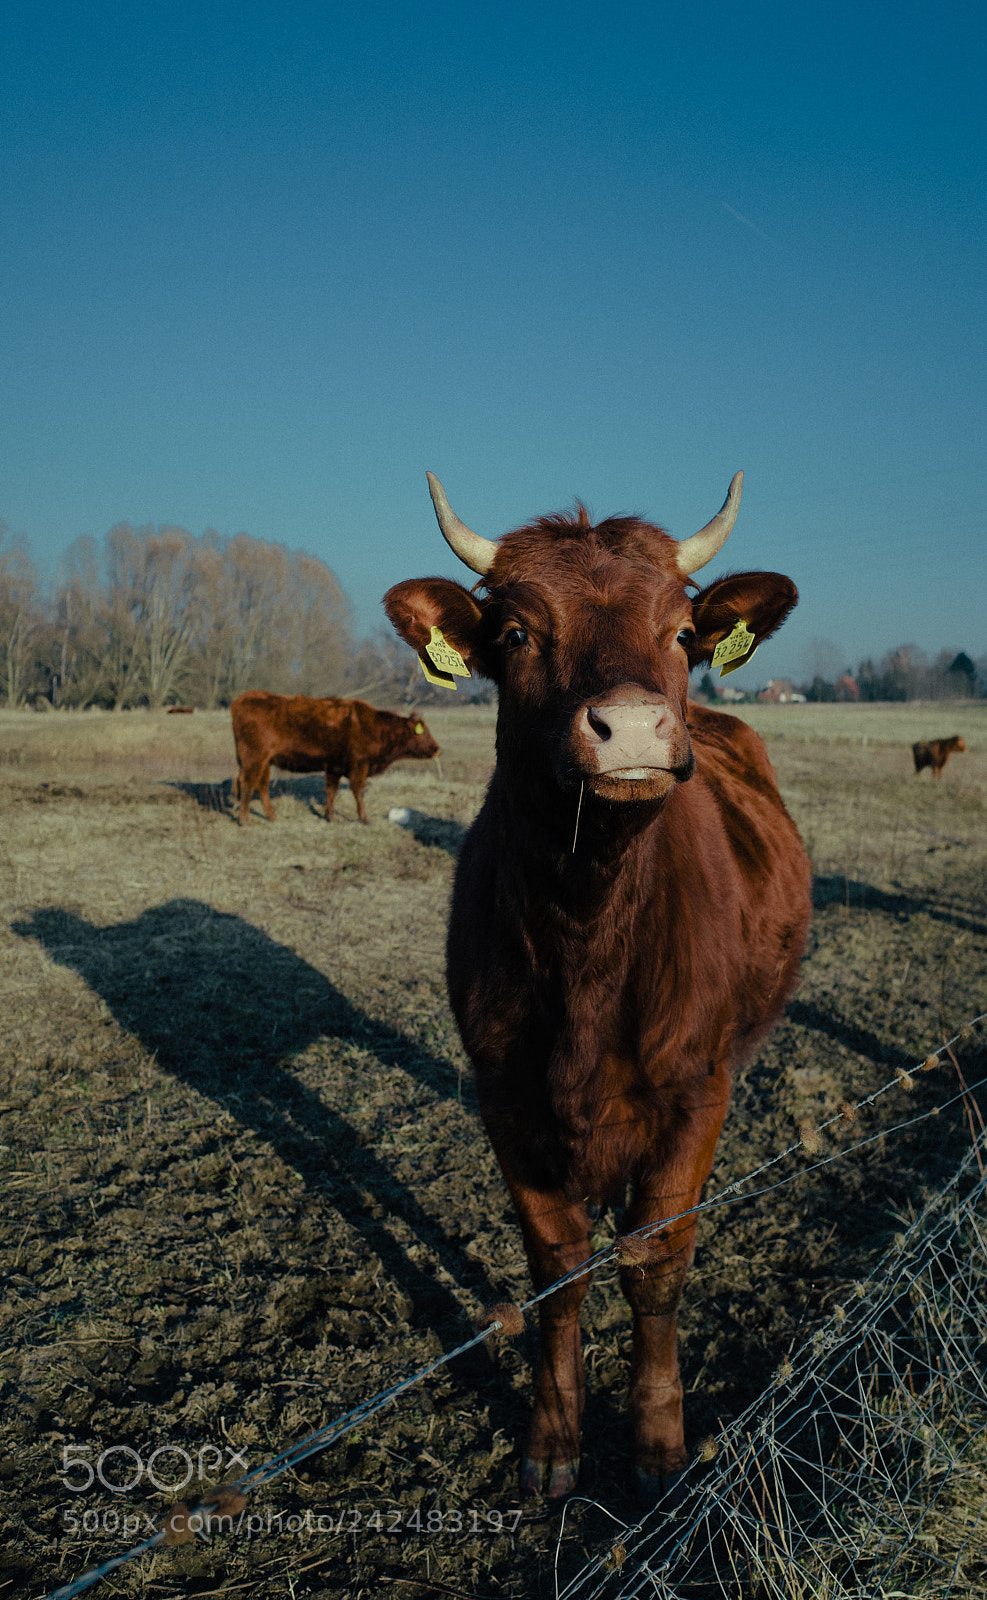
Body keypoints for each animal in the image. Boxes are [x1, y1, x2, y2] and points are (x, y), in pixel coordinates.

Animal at [230, 693, 439, 825]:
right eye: (423, 732)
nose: (437, 749)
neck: (374, 726)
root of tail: (244, 698)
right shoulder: (359, 765)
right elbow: (358, 792)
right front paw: (364, 818)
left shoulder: (334, 767)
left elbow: (331, 791)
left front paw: (330, 816)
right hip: (255, 758)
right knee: (247, 783)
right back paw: (245, 820)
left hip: (264, 761)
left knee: (261, 785)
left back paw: (272, 816)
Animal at [384, 470, 811, 1502]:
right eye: (515, 633)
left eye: (681, 633)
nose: (634, 730)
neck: (587, 929)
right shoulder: (505, 1096)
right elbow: (560, 1267)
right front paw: (553, 1436)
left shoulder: (696, 1092)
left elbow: (654, 1262)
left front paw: (655, 1437)